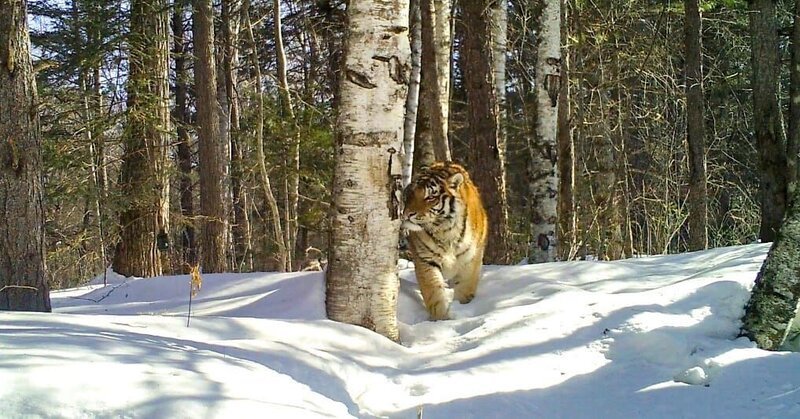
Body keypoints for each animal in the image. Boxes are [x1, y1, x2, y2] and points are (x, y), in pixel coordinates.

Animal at [401, 161, 488, 320]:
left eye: (430, 197)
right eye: (410, 194)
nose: (408, 214)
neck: (445, 230)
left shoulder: (470, 260)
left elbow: (464, 289)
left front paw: (461, 308)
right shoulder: (426, 260)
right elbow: (434, 293)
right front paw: (441, 319)